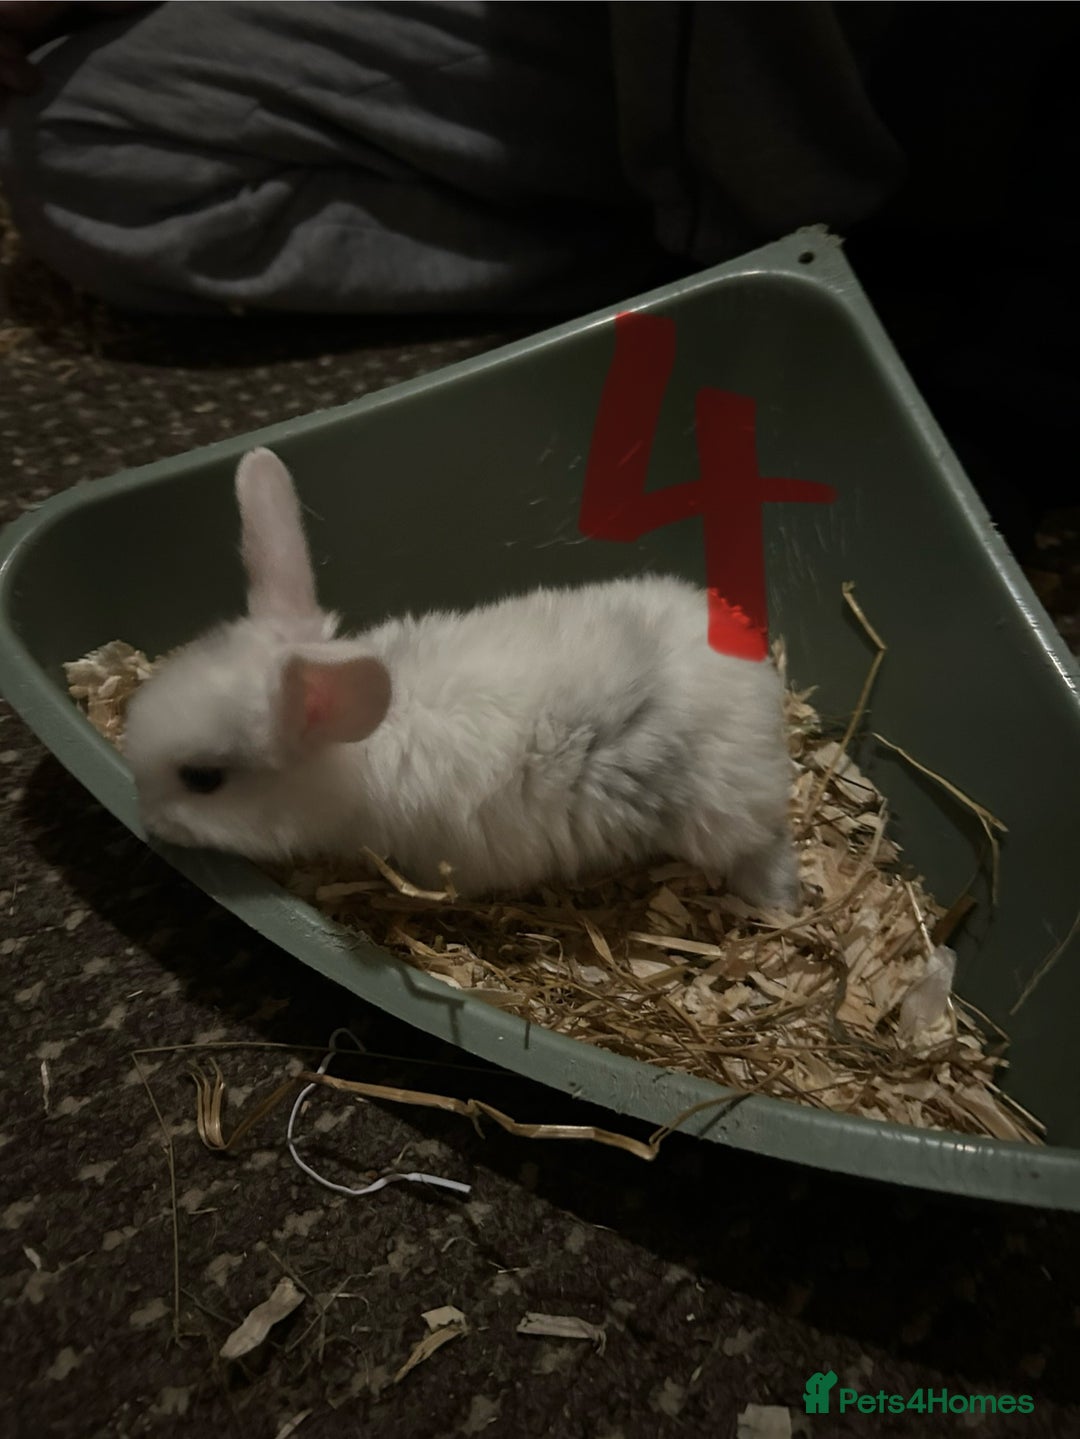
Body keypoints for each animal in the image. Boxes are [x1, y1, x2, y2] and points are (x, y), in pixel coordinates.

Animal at [123, 448, 800, 911]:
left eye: (203, 779)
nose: (148, 822)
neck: (356, 751)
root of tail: (761, 681)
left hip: (721, 816)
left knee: (764, 846)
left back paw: (775, 901)